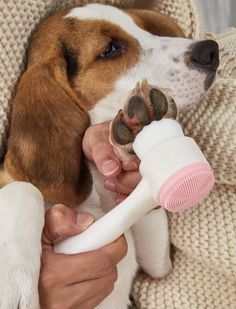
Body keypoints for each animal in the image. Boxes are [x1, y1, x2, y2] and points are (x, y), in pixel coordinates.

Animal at [0, 3, 219, 308]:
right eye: (110, 49)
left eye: (143, 27)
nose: (210, 50)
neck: (94, 201)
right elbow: (24, 188)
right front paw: (14, 284)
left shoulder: (157, 266)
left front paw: (125, 145)